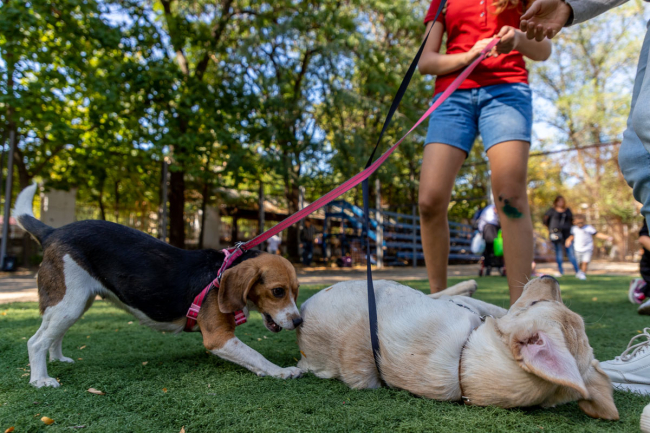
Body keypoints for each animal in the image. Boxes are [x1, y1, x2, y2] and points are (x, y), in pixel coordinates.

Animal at [14, 184, 303, 388]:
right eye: (277, 291)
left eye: (296, 291)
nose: (300, 321)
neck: (221, 273)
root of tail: (53, 232)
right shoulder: (218, 338)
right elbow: (257, 356)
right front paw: (282, 371)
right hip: (69, 303)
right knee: (35, 342)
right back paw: (40, 380)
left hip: (75, 304)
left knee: (53, 335)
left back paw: (58, 359)